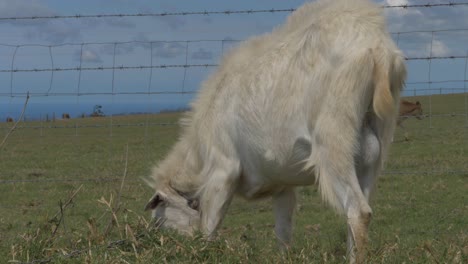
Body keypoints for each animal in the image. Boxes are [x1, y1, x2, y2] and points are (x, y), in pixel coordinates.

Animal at [145, 1, 406, 262]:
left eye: (159, 218)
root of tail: (378, 47)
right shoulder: (283, 185)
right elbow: (283, 232)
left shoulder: (222, 170)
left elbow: (210, 227)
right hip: (372, 151)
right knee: (362, 211)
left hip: (334, 140)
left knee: (358, 211)